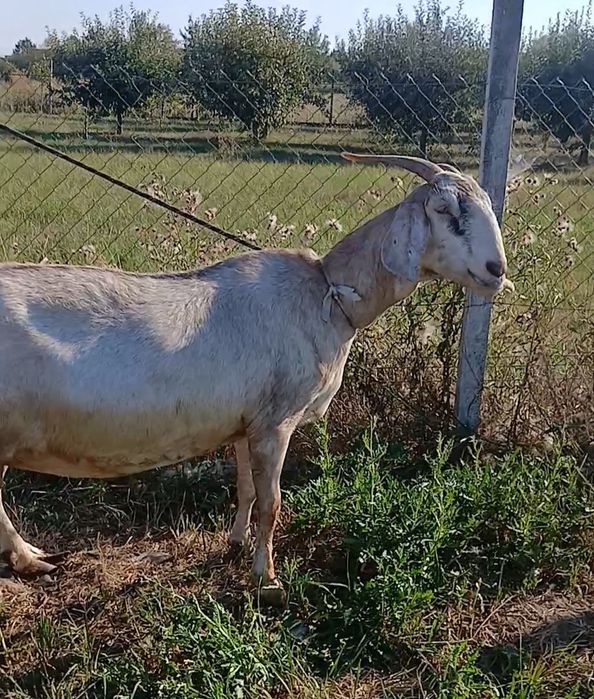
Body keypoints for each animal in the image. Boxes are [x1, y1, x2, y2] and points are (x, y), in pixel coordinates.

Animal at [0, 154, 509, 603]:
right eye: (443, 210)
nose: (496, 271)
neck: (326, 294)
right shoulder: (276, 421)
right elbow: (272, 503)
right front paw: (267, 579)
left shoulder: (246, 422)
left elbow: (245, 489)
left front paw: (236, 544)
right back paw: (29, 560)